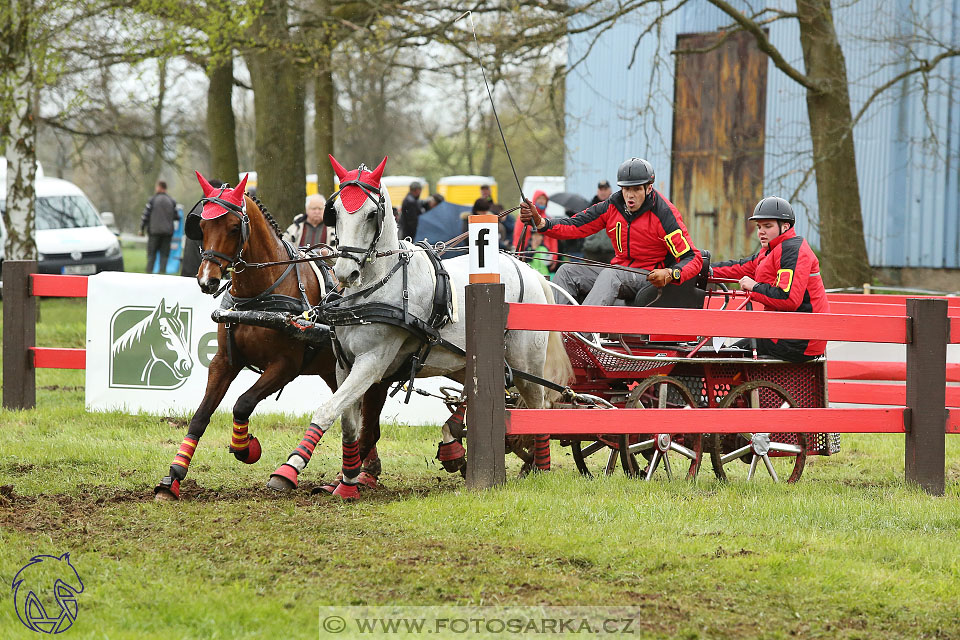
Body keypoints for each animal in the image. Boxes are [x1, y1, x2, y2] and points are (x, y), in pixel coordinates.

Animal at [154, 174, 390, 500]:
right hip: (334, 371)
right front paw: (173, 476)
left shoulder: (285, 367)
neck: (257, 298)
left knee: (369, 426)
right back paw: (361, 472)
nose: (207, 280)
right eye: (201, 225)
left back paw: (351, 475)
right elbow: (201, 416)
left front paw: (246, 448)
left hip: (373, 372)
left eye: (233, 226)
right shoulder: (224, 362)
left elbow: (242, 403)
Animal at [264, 156, 568, 500]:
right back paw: (458, 446)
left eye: (372, 214)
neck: (376, 289)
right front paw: (348, 480)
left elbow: (326, 410)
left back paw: (539, 467)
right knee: (475, 397)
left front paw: (290, 468)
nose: (345, 272)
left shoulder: (372, 363)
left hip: (525, 365)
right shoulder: (344, 364)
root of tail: (527, 269)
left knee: (538, 406)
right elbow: (349, 424)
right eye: (336, 211)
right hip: (466, 362)